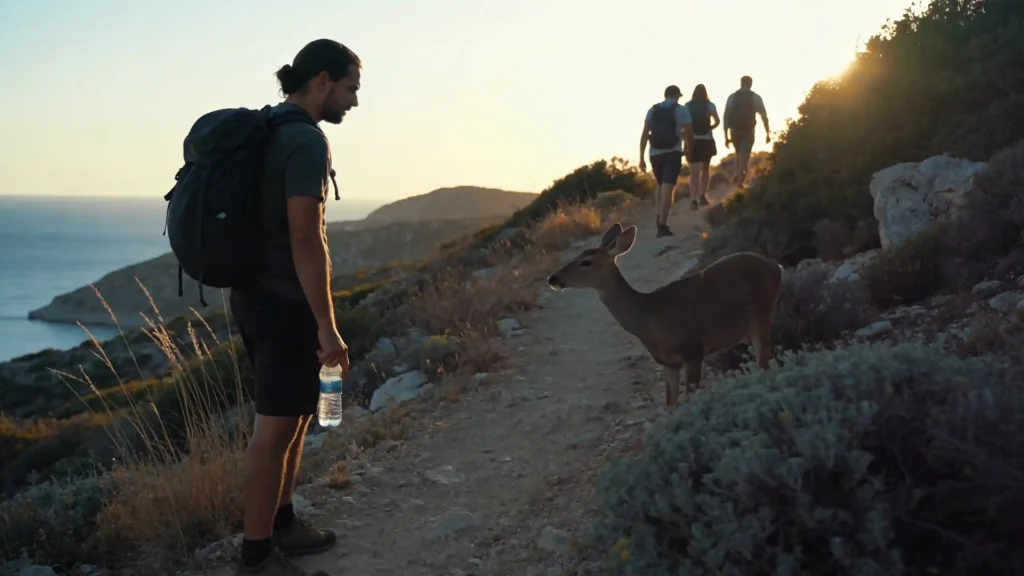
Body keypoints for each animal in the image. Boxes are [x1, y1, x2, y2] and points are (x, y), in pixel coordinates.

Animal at [546, 222, 784, 407]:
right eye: (577, 255)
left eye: (586, 261)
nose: (553, 278)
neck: (649, 317)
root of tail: (776, 266)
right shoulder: (668, 363)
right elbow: (671, 405)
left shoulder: (693, 350)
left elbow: (690, 398)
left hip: (762, 312)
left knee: (765, 362)